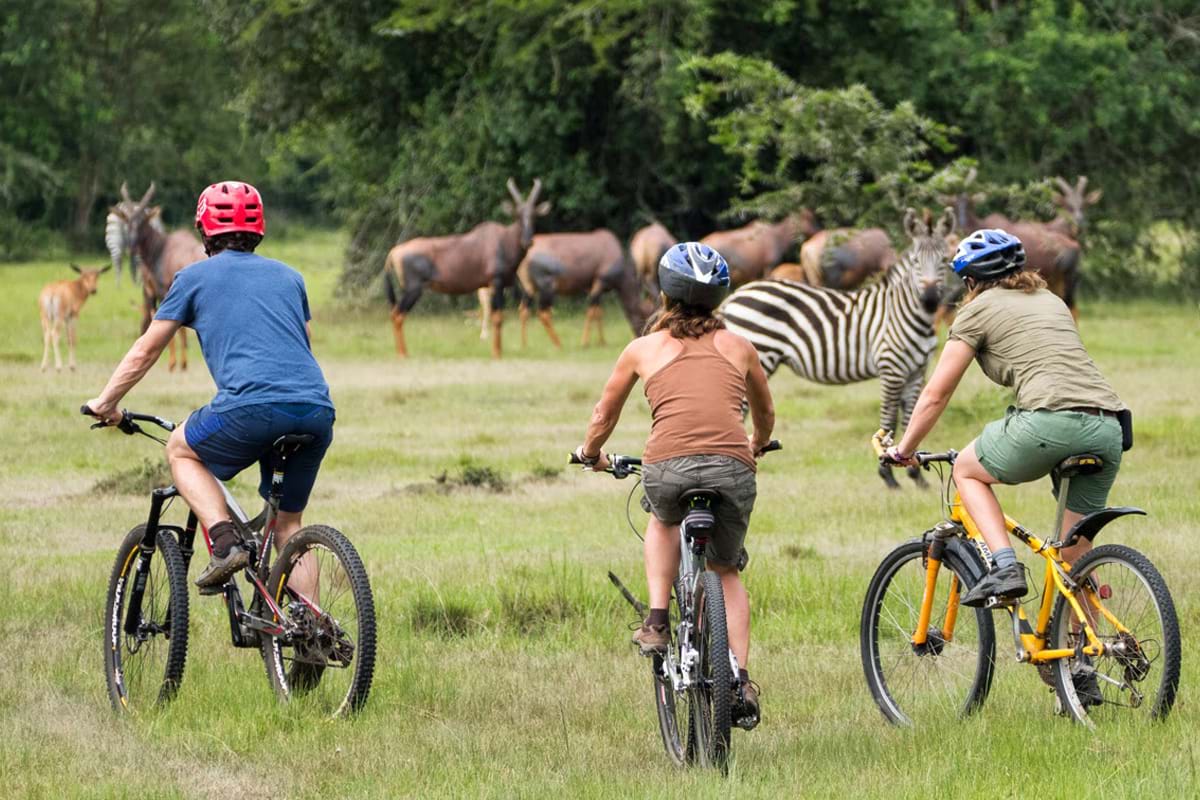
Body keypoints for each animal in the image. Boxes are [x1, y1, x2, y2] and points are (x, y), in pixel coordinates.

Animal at [720, 207, 956, 489]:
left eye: (944, 260)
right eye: (917, 263)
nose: (930, 300)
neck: (904, 312)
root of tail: (735, 296)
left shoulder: (917, 371)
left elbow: (912, 419)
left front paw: (916, 476)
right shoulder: (891, 367)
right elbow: (888, 420)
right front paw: (888, 475)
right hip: (757, 357)